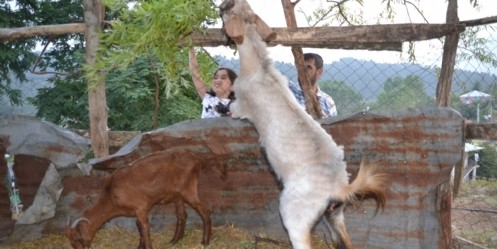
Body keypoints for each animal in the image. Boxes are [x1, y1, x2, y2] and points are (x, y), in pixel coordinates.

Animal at [65, 150, 222, 249]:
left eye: (76, 240)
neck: (111, 193)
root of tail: (195, 158)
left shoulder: (141, 207)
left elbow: (144, 227)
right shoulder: (137, 211)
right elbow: (139, 227)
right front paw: (139, 246)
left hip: (188, 191)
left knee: (205, 211)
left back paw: (205, 242)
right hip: (177, 196)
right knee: (182, 215)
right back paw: (174, 241)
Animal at [221, 0, 388, 248]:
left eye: (229, 9)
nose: (220, 7)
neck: (259, 67)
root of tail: (339, 185)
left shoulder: (241, 104)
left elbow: (232, 108)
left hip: (295, 216)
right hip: (336, 215)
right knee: (346, 240)